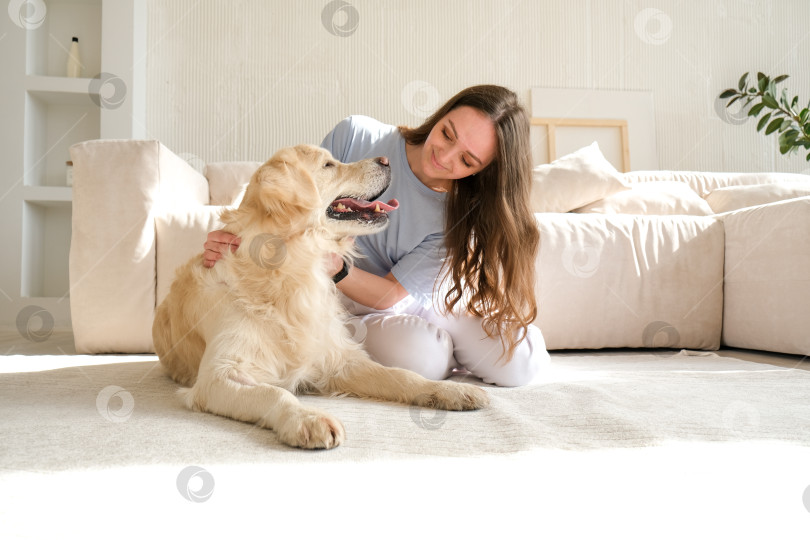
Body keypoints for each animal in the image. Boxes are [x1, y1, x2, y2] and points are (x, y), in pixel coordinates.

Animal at [155, 146, 490, 450]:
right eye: (328, 165)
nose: (386, 159)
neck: (293, 267)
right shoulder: (218, 376)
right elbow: (274, 392)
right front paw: (308, 419)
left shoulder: (339, 359)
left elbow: (401, 375)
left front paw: (447, 391)